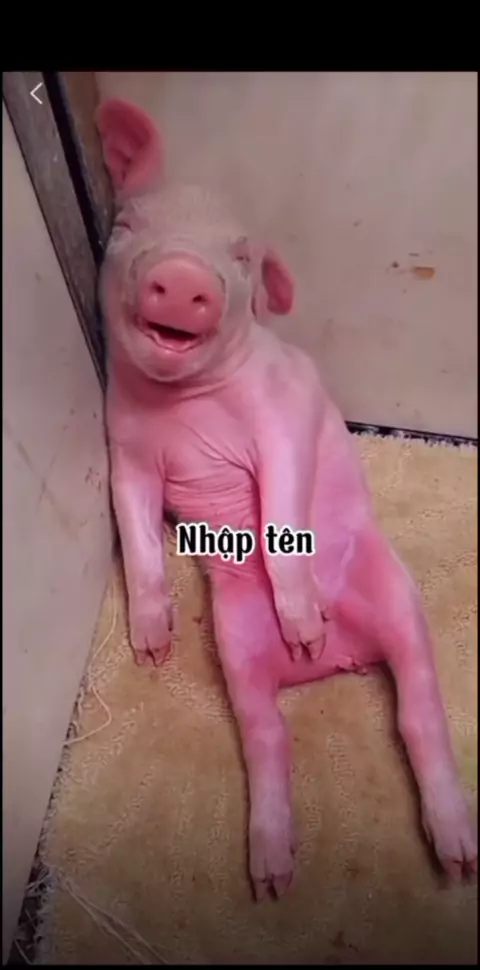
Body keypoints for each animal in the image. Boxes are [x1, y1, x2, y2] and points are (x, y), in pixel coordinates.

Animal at [95, 97, 477, 901]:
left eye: (240, 256)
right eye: (126, 227)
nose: (183, 274)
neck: (184, 405)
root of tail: (347, 661)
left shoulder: (286, 419)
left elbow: (279, 506)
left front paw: (303, 623)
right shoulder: (127, 455)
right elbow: (138, 539)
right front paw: (150, 653)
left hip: (397, 595)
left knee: (418, 710)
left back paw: (457, 860)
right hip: (236, 643)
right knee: (267, 736)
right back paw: (271, 877)